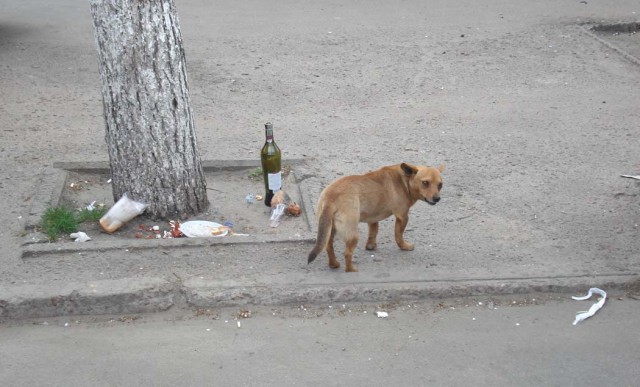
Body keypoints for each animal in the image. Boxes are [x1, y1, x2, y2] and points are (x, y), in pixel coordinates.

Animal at [308, 164, 442, 272]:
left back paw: (334, 264)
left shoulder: (372, 218)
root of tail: (330, 197)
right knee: (347, 253)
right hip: (352, 235)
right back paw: (351, 270)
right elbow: (398, 236)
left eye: (440, 185)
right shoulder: (403, 217)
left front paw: (371, 246)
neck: (404, 179)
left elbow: (373, 232)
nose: (437, 199)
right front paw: (404, 246)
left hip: (330, 230)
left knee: (329, 247)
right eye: (425, 183)